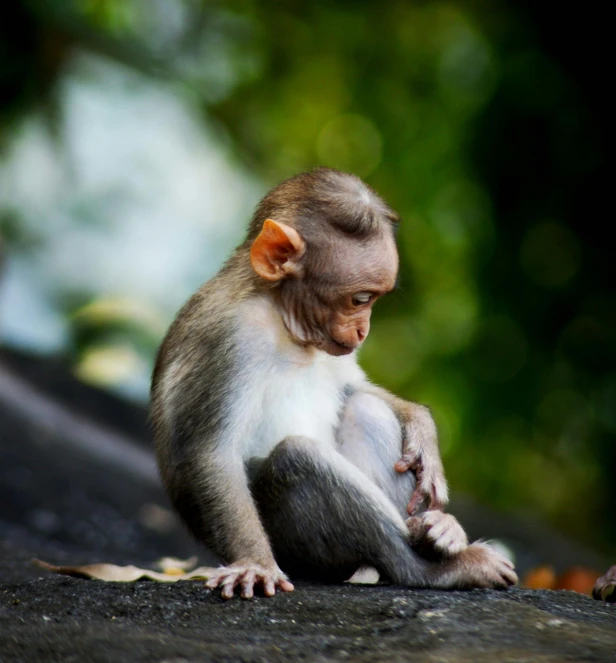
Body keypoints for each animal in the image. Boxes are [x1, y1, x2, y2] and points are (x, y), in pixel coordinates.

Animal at [152, 167, 516, 600]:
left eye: (374, 299)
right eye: (360, 299)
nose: (363, 330)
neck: (280, 316)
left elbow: (353, 388)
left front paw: (422, 429)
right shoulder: (232, 336)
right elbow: (211, 454)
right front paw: (255, 563)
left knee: (365, 409)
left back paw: (436, 534)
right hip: (300, 549)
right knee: (298, 457)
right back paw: (430, 569)